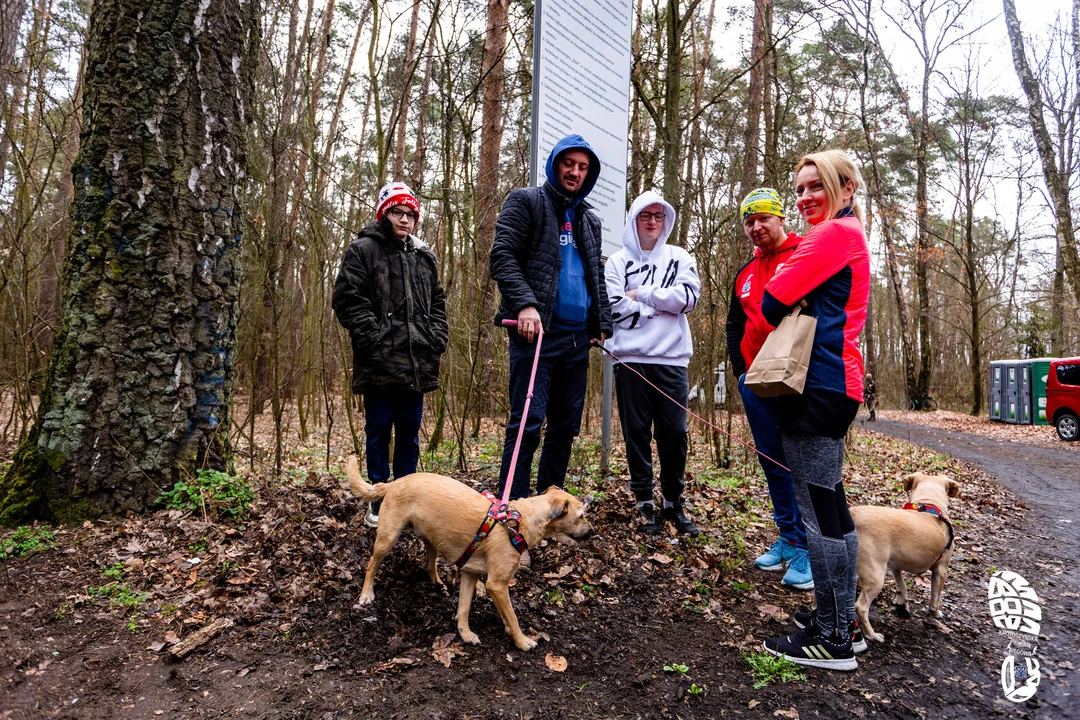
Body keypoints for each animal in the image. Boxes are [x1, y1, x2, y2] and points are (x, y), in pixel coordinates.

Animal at [349, 455, 596, 651]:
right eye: (581, 515)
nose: (593, 531)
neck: (520, 522)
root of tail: (395, 482)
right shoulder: (497, 584)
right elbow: (512, 616)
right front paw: (521, 640)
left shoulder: (470, 574)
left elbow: (465, 608)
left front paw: (465, 633)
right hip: (388, 537)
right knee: (371, 565)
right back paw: (366, 594)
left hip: (432, 539)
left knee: (429, 562)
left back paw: (437, 582)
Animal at [846, 470, 959, 643]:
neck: (929, 503)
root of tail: (854, 515)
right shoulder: (941, 570)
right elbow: (935, 596)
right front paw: (935, 613)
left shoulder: (895, 566)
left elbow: (902, 586)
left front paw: (902, 605)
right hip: (875, 577)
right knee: (861, 607)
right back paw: (872, 635)